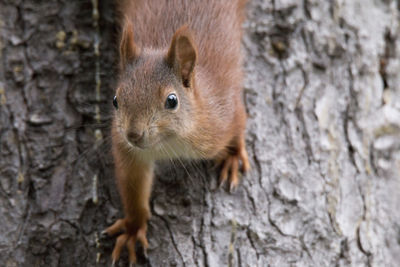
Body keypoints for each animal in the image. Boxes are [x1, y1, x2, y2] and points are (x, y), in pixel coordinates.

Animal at [104, 0, 250, 264]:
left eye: (172, 101)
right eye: (115, 100)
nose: (133, 135)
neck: (169, 143)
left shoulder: (223, 115)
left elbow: (239, 123)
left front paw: (233, 156)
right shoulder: (129, 152)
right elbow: (133, 185)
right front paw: (133, 228)